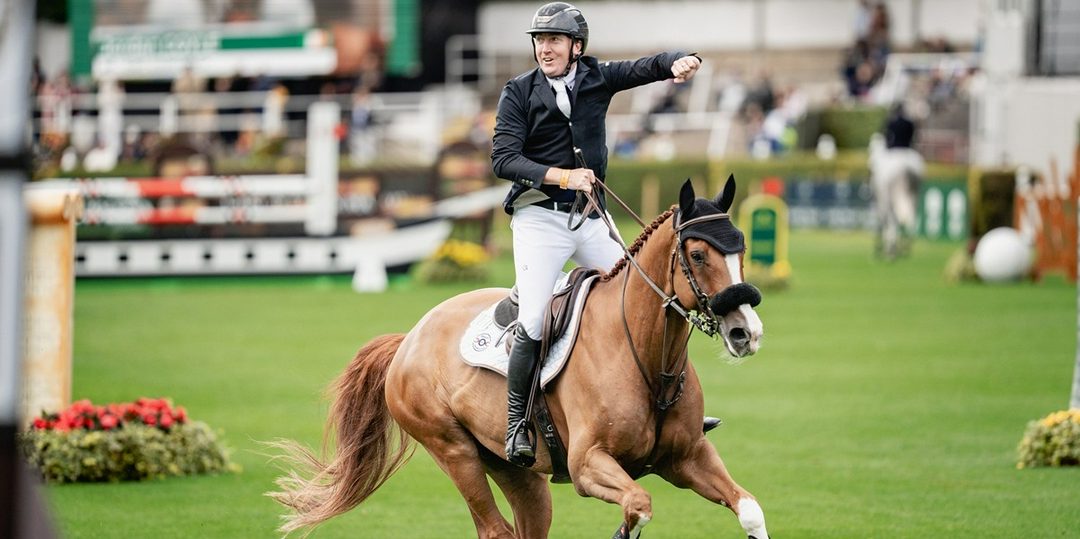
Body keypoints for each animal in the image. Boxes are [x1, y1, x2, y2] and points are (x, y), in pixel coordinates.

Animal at [268, 177, 770, 538]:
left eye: (742, 247)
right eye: (698, 254)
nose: (745, 332)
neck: (648, 361)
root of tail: (409, 338)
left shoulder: (688, 458)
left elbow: (750, 510)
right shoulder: (589, 466)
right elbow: (638, 508)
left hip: (516, 472)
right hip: (455, 452)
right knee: (495, 530)